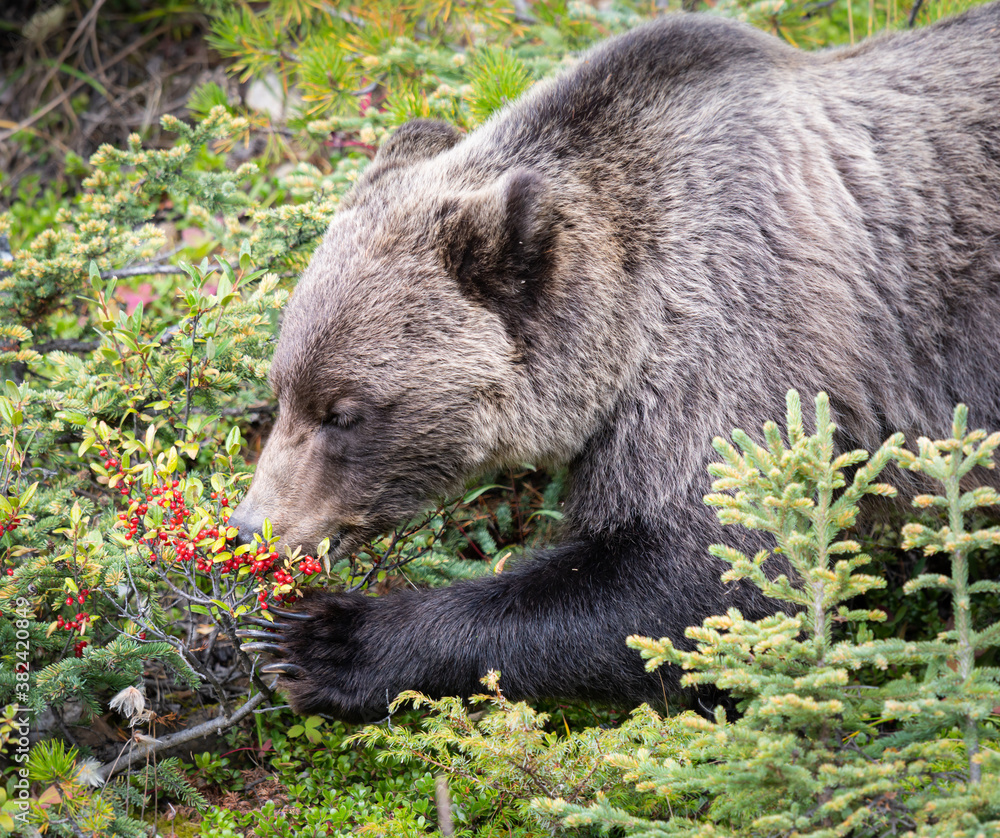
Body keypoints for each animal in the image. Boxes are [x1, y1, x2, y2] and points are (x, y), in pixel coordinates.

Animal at [230, 3, 1000, 723]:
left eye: (344, 412)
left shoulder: (742, 345)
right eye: (283, 390)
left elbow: (703, 577)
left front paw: (323, 641)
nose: (250, 528)